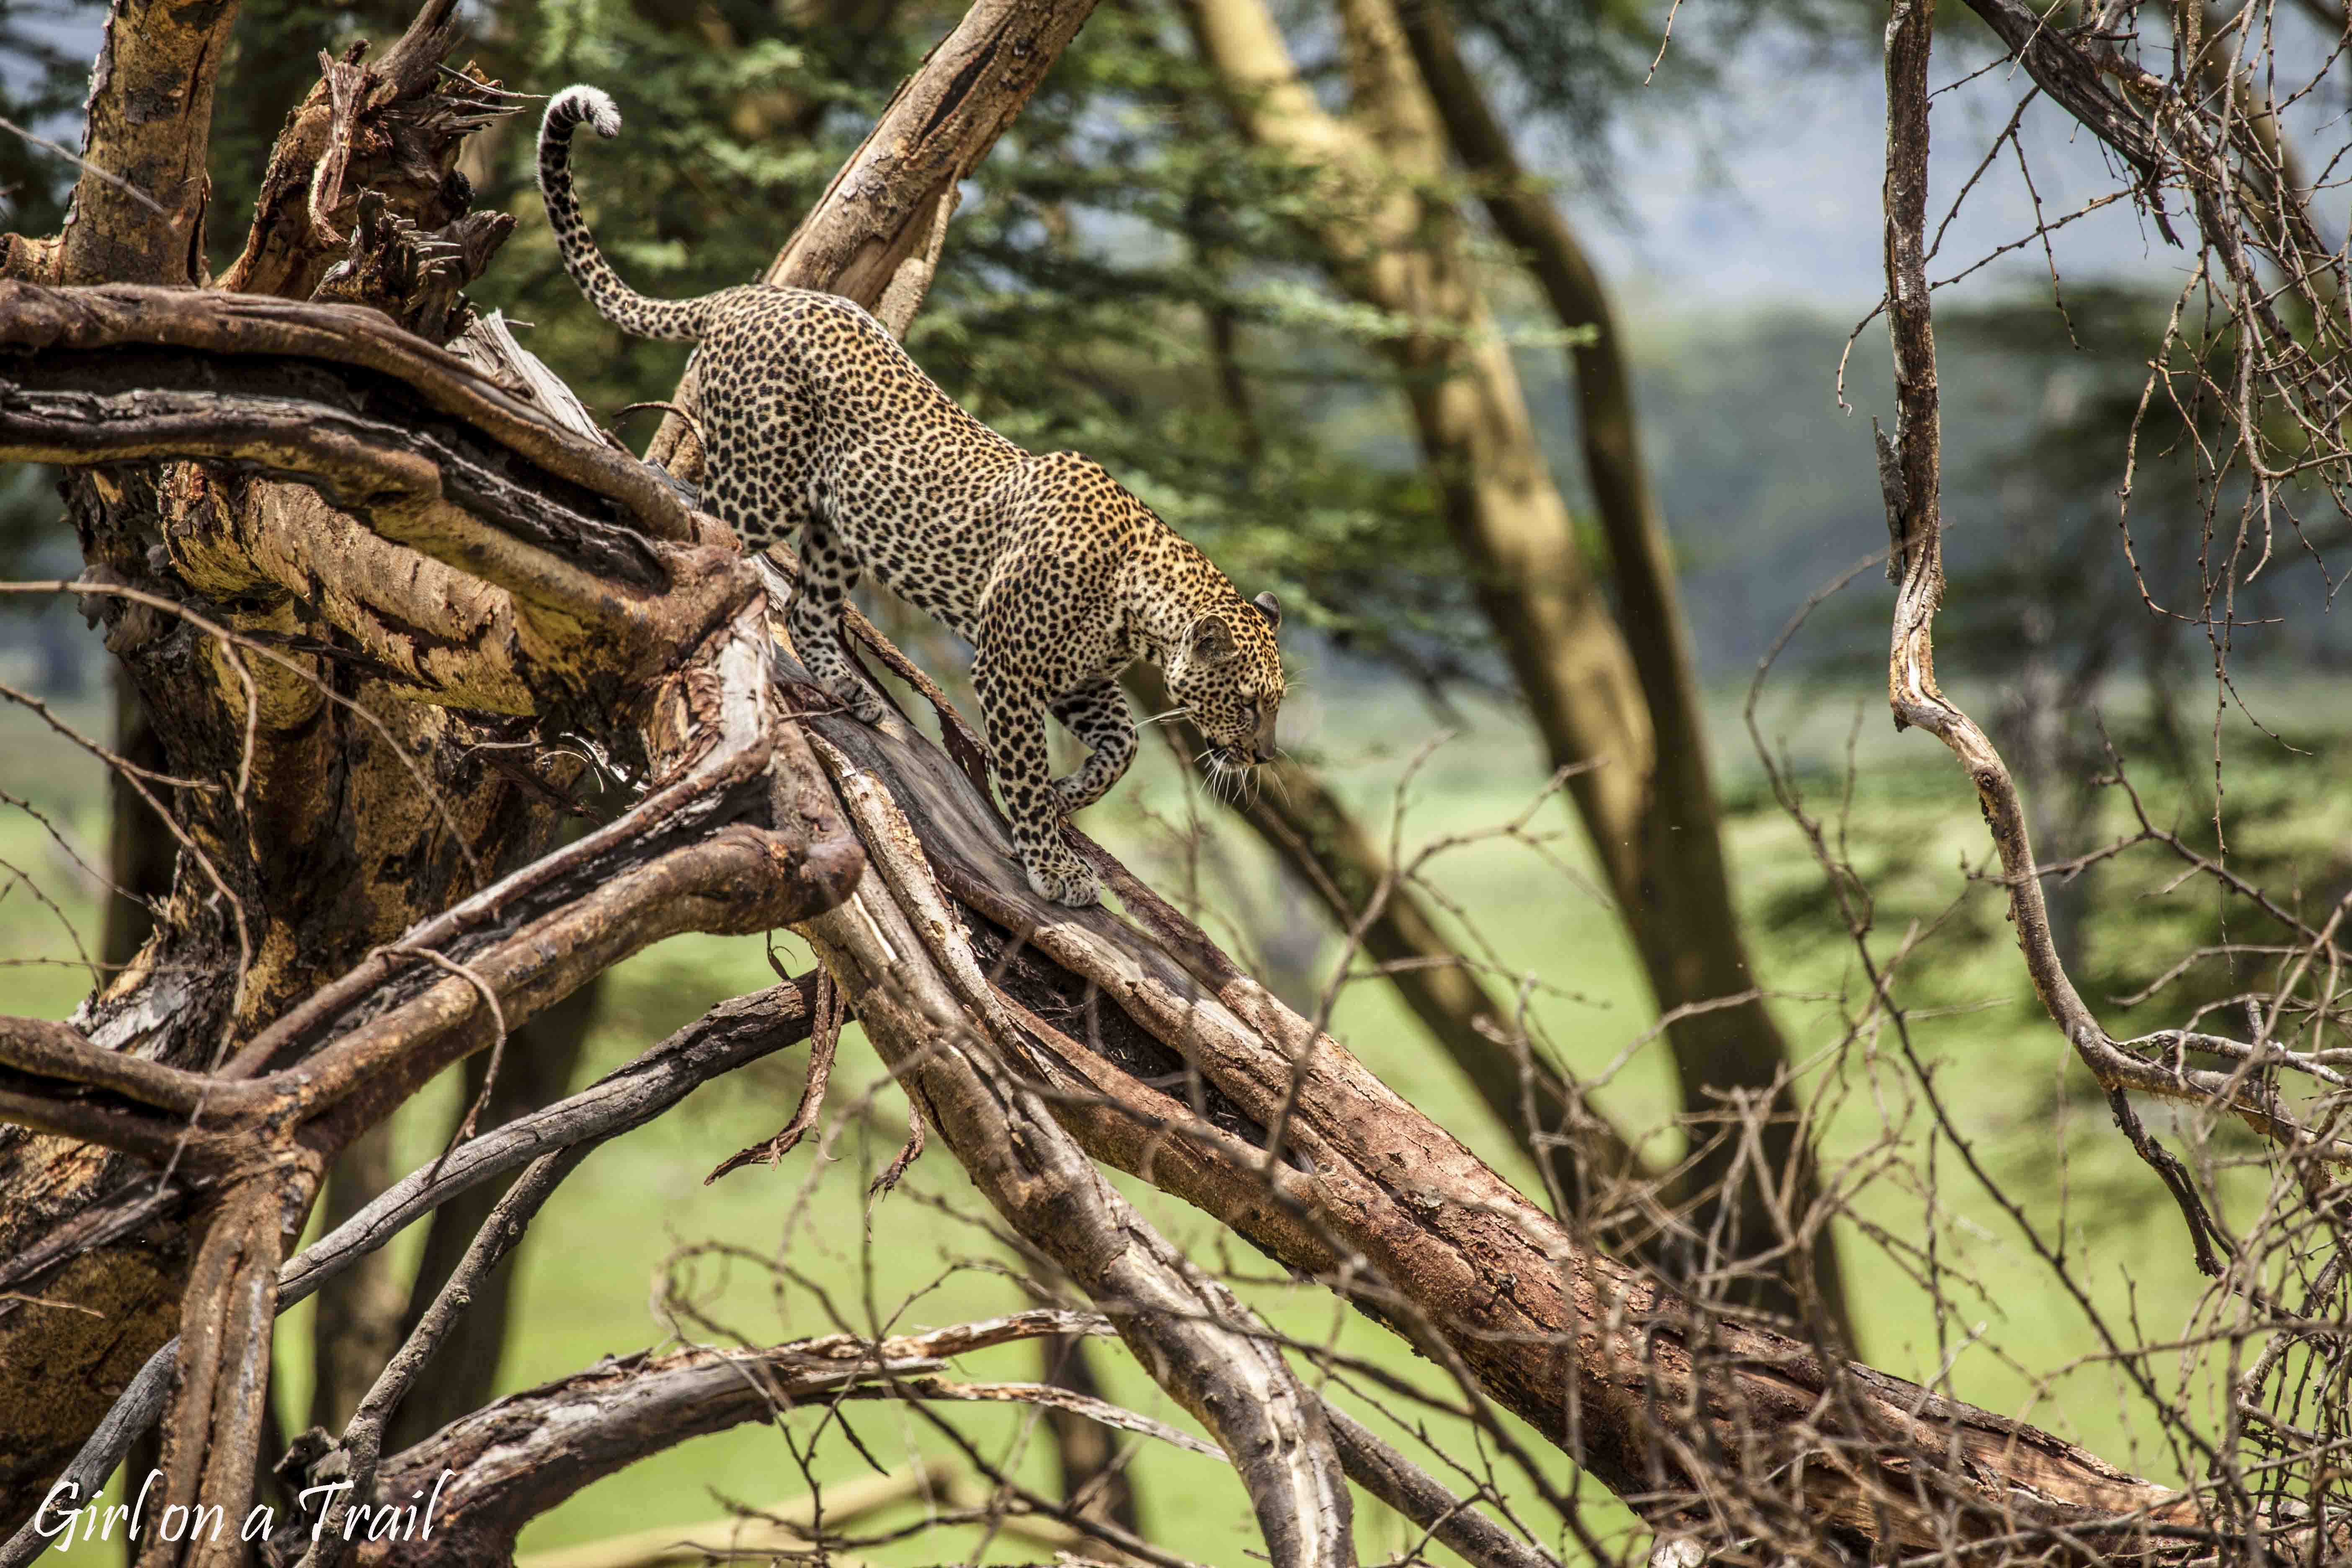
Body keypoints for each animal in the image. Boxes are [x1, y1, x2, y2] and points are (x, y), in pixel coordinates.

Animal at [539, 85, 1289, 912]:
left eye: (1274, 703)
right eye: (1249, 702)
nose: (1264, 755)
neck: (1139, 606)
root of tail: (750, 295)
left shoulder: (1080, 678)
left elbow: (1121, 744)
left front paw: (1069, 796)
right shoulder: (1009, 669)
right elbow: (1022, 769)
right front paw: (1051, 862)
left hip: (839, 531)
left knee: (808, 607)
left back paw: (848, 688)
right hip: (764, 487)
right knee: (706, 532)